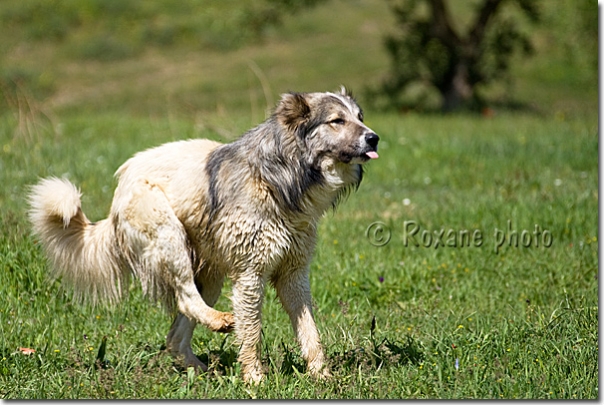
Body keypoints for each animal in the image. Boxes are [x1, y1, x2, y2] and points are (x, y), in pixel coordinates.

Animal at [28, 87, 380, 384]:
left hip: (209, 275)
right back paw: (220, 325)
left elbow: (310, 331)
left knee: (176, 333)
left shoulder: (293, 275)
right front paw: (255, 380)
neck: (282, 178)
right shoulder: (250, 275)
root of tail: (121, 184)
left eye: (360, 116)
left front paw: (322, 376)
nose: (374, 138)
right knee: (185, 297)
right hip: (170, 237)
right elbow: (252, 333)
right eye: (337, 120)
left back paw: (202, 369)